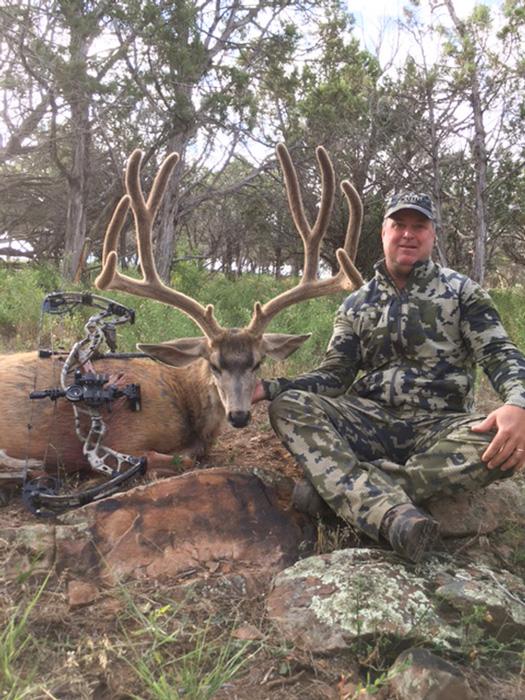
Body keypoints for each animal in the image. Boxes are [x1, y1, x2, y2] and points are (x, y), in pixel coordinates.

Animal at [0, 144, 364, 488]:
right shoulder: (123, 439)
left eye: (258, 363)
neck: (185, 401)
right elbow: (180, 459)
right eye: (213, 364)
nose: (240, 416)